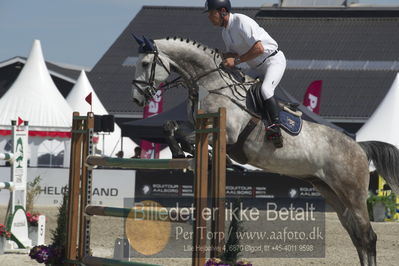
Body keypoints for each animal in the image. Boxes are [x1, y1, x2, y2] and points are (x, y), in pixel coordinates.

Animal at [131, 35, 399, 266]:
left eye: (145, 63)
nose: (136, 99)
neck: (212, 84)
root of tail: (359, 146)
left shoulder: (227, 134)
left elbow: (189, 136)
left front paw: (191, 153)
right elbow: (171, 125)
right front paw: (180, 152)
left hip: (352, 192)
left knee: (367, 236)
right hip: (330, 191)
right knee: (356, 235)